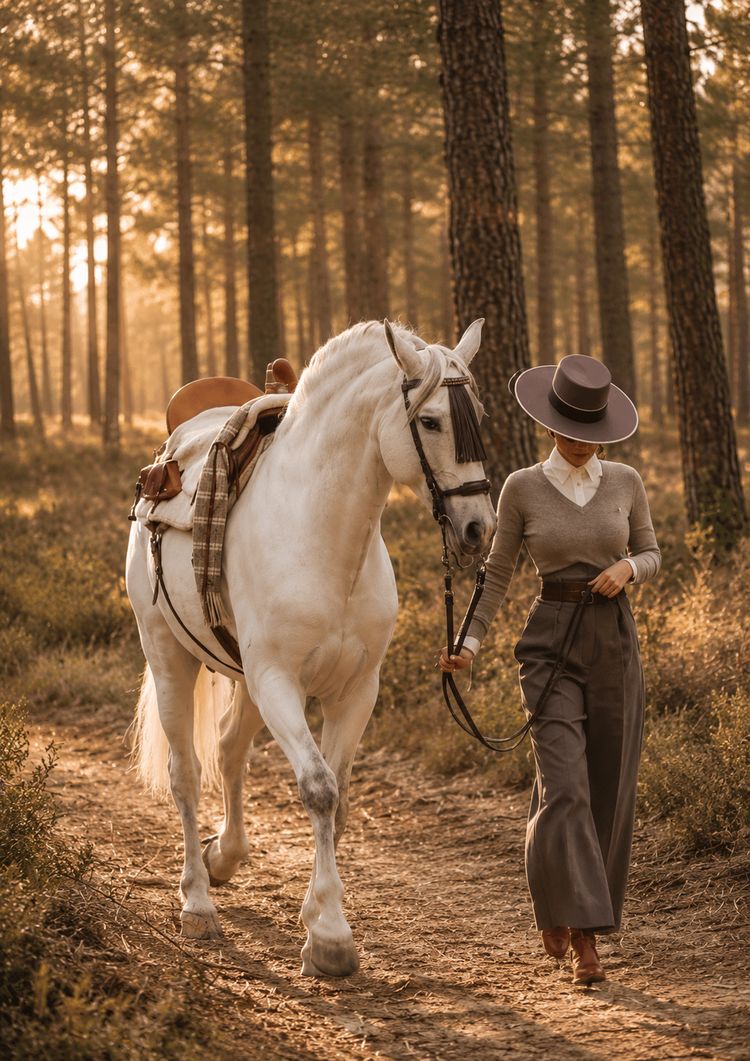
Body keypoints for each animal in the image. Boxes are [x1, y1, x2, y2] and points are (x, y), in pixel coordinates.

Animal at [125, 318, 497, 977]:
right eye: (430, 421)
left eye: (475, 414)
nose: (479, 529)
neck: (322, 536)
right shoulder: (279, 682)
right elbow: (319, 790)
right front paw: (329, 937)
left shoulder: (356, 690)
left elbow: (340, 800)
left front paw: (320, 918)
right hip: (171, 657)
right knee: (186, 774)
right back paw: (197, 901)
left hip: (244, 680)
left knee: (229, 750)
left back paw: (225, 857)